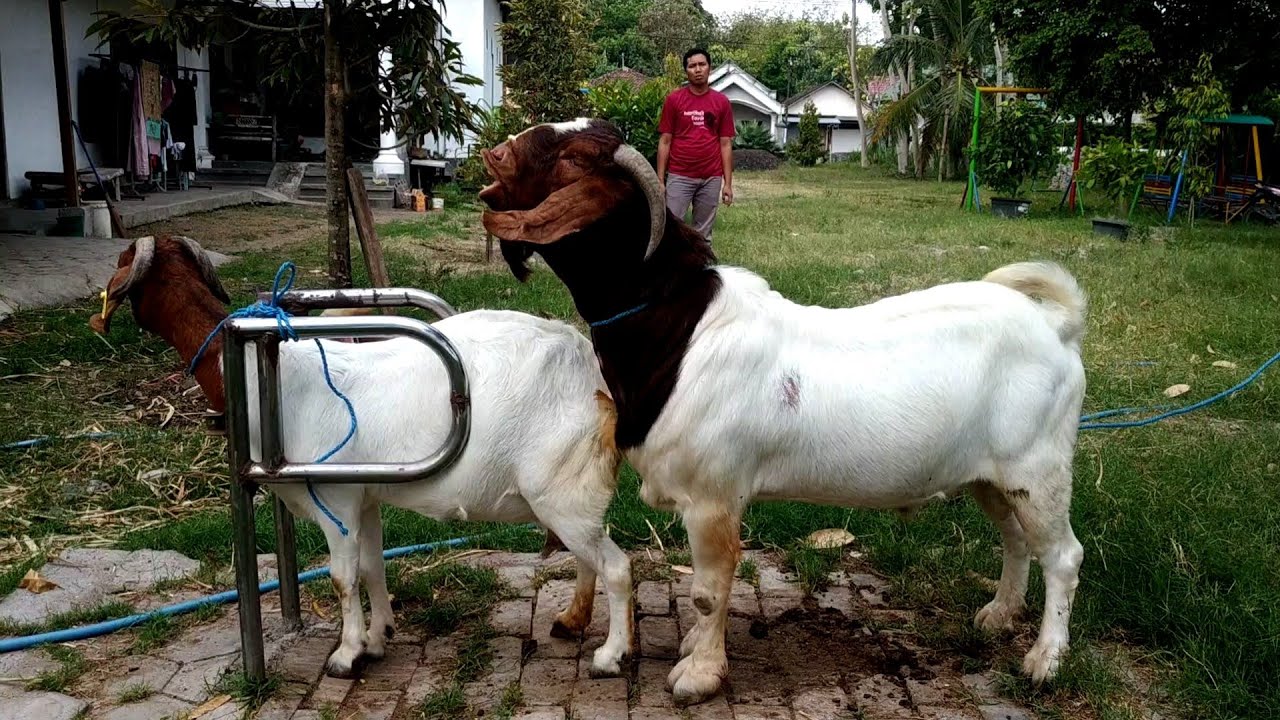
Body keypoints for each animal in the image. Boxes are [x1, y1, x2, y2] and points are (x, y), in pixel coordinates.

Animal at [86, 234, 634, 676]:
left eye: (125, 268)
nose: (100, 317)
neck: (270, 376)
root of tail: (592, 376)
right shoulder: (364, 497)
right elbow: (372, 566)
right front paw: (378, 636)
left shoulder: (335, 497)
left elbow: (342, 578)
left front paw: (346, 655)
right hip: (568, 499)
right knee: (586, 555)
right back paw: (570, 620)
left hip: (561, 491)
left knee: (615, 566)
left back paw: (610, 656)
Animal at [481, 120, 1090, 702]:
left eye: (574, 160)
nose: (498, 150)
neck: (680, 332)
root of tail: (1055, 327)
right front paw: (694, 649)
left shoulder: (714, 497)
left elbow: (707, 592)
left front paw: (699, 676)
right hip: (993, 476)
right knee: (1017, 539)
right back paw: (998, 616)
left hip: (1038, 469)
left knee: (1062, 555)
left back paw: (1045, 662)